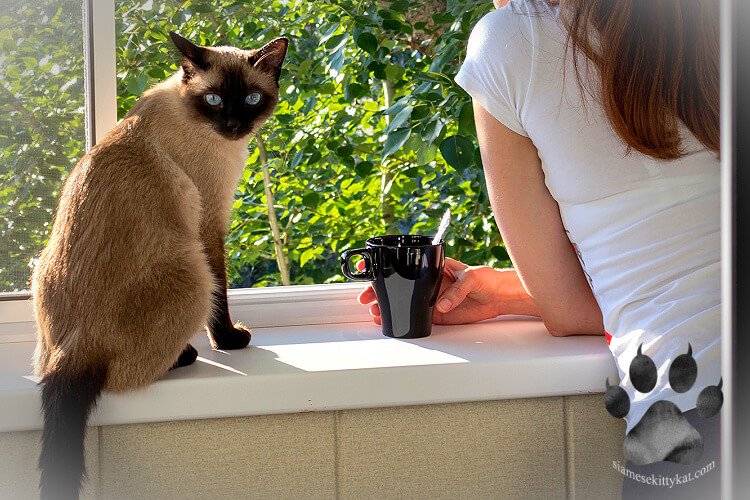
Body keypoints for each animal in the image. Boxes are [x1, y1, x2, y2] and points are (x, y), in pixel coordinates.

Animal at [30, 32, 288, 500]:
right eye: (215, 99)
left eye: (252, 98)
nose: (234, 126)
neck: (186, 109)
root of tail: (70, 353)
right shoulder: (210, 222)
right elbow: (222, 293)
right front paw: (229, 341)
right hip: (191, 272)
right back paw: (186, 355)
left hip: (38, 268)